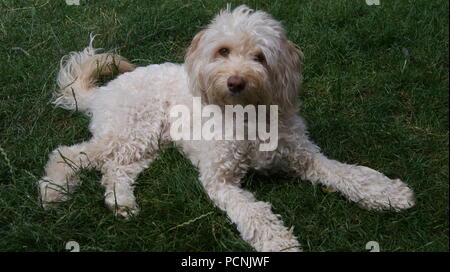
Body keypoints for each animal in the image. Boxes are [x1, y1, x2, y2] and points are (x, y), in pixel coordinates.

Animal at [38, 5, 414, 252]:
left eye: (260, 57)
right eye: (223, 51)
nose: (235, 81)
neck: (247, 116)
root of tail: (103, 91)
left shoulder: (306, 157)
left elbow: (347, 172)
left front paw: (386, 192)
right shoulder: (220, 180)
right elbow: (252, 211)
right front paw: (277, 241)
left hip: (147, 143)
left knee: (116, 169)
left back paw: (122, 202)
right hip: (131, 130)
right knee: (69, 153)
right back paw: (54, 190)